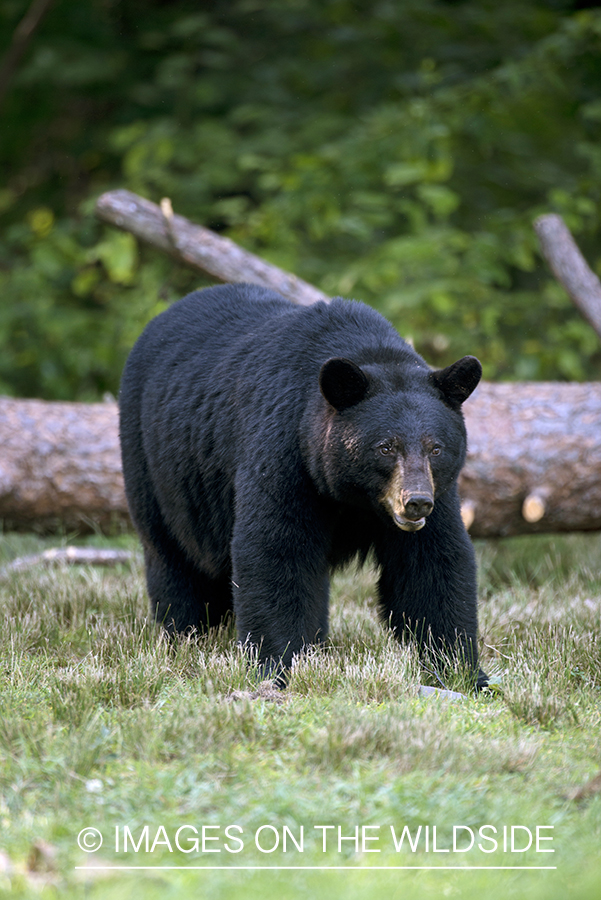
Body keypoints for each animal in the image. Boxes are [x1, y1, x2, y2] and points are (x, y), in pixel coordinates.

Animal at [120, 284, 488, 688]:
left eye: (435, 447)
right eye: (386, 446)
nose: (416, 502)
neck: (353, 496)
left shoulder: (440, 492)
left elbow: (433, 564)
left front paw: (463, 672)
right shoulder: (284, 451)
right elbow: (277, 549)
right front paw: (278, 667)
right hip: (155, 464)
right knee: (172, 555)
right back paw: (184, 633)